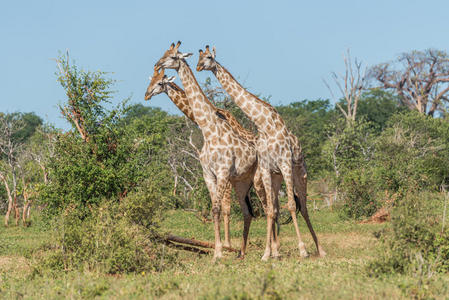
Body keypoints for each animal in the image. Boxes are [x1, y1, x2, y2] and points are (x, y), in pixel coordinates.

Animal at [154, 41, 260, 258]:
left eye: (172, 56)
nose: (157, 63)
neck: (209, 130)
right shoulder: (208, 174)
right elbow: (214, 209)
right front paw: (218, 251)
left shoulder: (223, 172)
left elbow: (220, 208)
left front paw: (220, 250)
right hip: (242, 182)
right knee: (249, 212)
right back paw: (242, 252)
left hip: (260, 178)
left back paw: (272, 251)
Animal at [197, 45, 326, 260]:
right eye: (197, 57)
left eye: (208, 57)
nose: (198, 66)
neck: (264, 124)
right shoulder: (266, 167)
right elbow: (271, 210)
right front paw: (267, 254)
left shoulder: (284, 163)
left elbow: (291, 205)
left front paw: (302, 250)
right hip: (276, 178)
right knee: (278, 207)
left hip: (300, 173)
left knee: (304, 206)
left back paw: (319, 249)